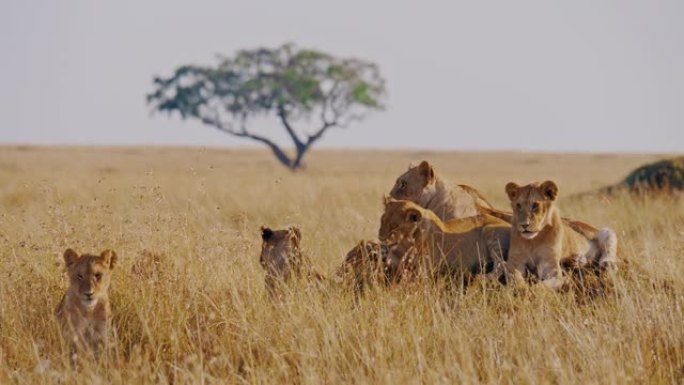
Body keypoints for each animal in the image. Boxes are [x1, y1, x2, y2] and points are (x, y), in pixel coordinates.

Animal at [380, 198, 508, 282]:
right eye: (382, 221)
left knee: (502, 263)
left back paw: (483, 277)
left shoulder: (424, 270)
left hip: (489, 230)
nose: (381, 237)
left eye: (394, 226)